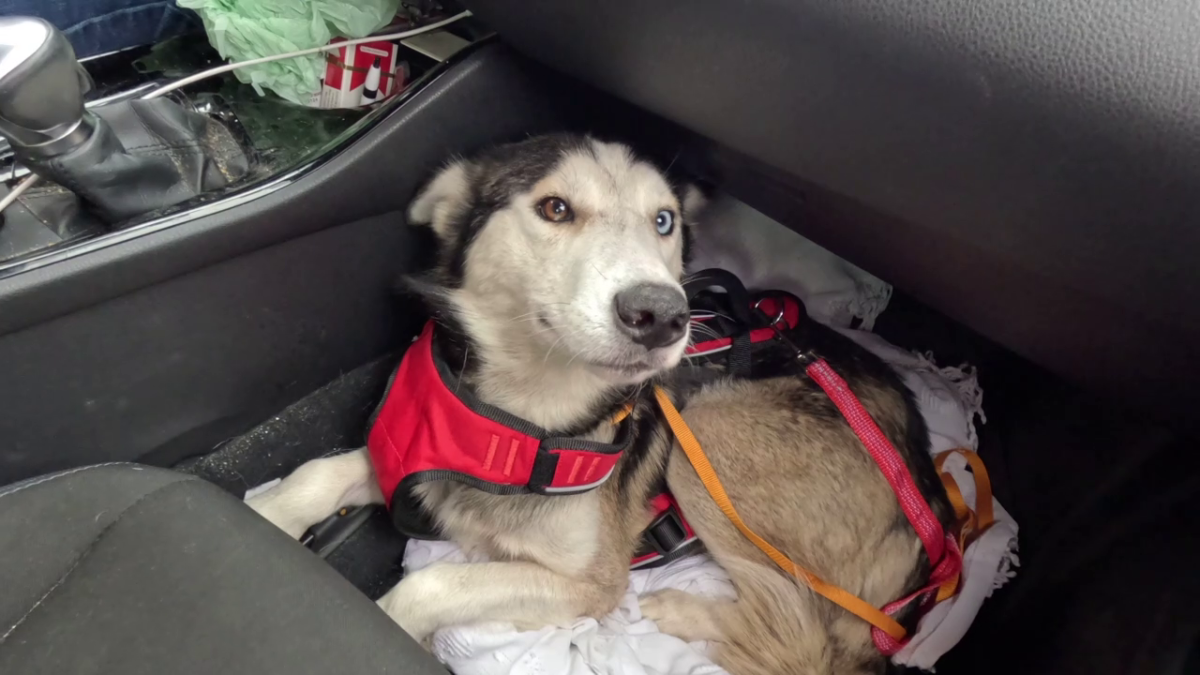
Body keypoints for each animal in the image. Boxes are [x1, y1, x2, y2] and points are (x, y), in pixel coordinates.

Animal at [246, 133, 955, 667]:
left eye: (664, 221)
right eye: (556, 209)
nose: (662, 315)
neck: (523, 414)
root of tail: (932, 512)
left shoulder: (589, 581)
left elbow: (431, 583)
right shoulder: (413, 456)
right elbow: (316, 476)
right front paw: (264, 514)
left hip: (709, 437)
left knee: (798, 633)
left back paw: (682, 610)